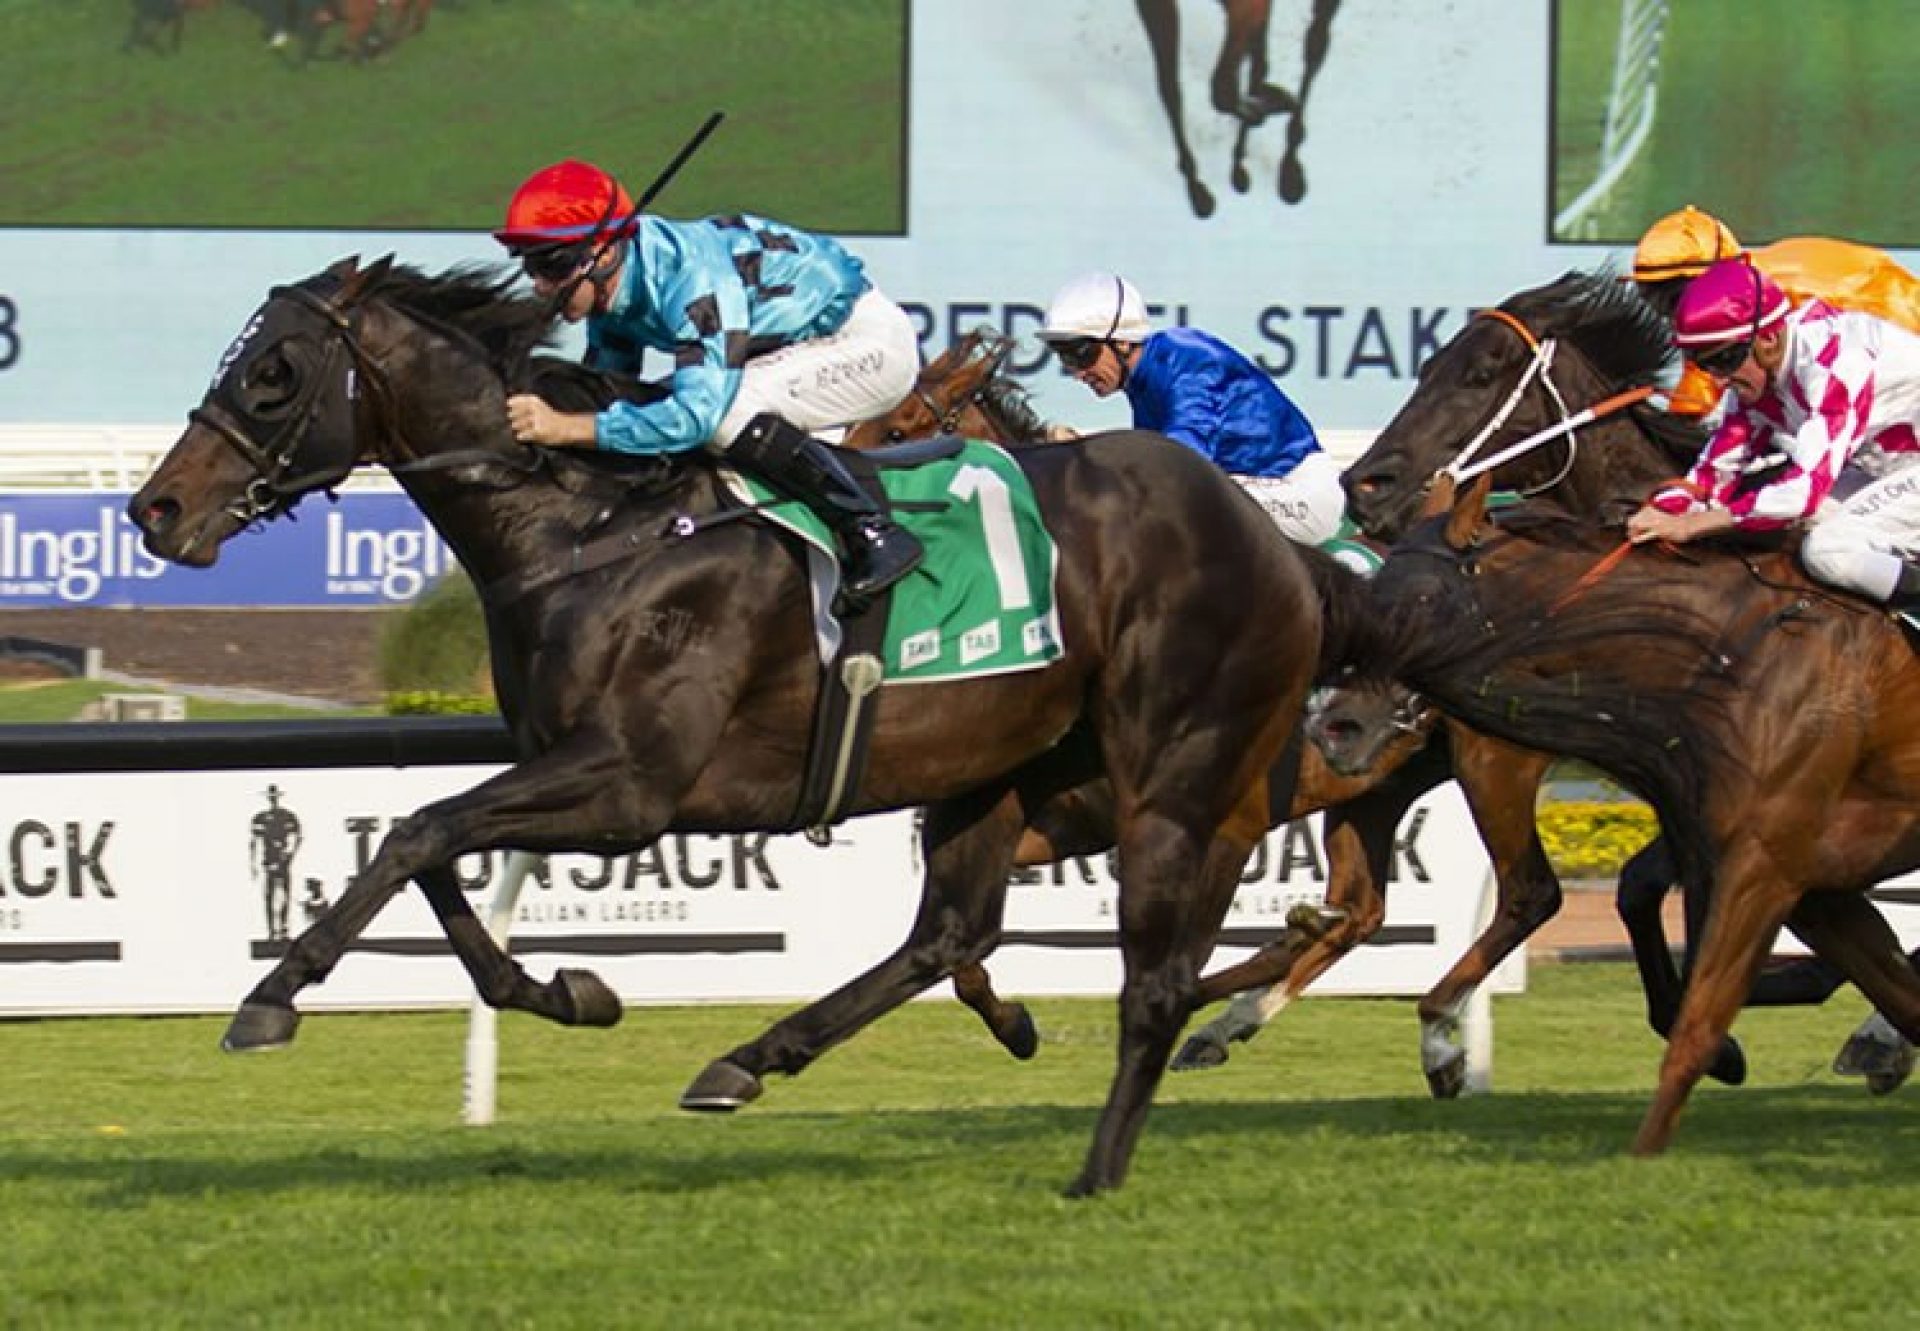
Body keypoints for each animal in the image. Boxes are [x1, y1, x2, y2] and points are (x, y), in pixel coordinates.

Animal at [131, 257, 1397, 1190]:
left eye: (275, 373)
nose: (156, 507)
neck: (600, 524)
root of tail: (1277, 548)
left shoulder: (631, 784)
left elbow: (417, 831)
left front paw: (270, 998)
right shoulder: (566, 766)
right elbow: (433, 848)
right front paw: (567, 991)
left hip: (1180, 778)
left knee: (1163, 974)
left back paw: (1106, 1153)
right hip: (995, 772)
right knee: (954, 933)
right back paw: (749, 1059)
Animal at [1374, 480, 1920, 1152]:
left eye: (1423, 597)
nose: (1335, 719)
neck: (1728, 656)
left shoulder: (1763, 868)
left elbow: (1696, 1030)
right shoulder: (1816, 890)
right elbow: (1905, 1000)